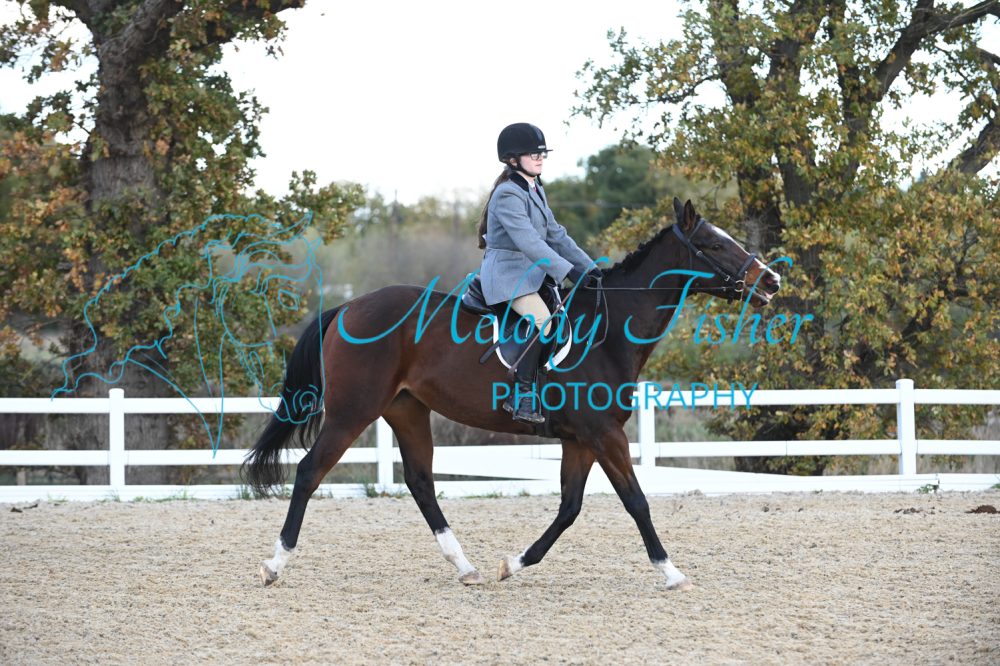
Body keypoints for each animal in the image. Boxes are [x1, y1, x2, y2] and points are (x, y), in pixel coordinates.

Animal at [242, 198, 781, 590]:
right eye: (713, 244)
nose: (772, 280)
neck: (608, 332)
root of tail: (349, 306)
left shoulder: (581, 439)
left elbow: (569, 508)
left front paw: (515, 562)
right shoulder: (604, 435)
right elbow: (636, 501)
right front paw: (670, 572)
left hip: (407, 411)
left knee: (420, 482)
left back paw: (466, 567)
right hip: (351, 413)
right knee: (310, 473)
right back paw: (274, 565)